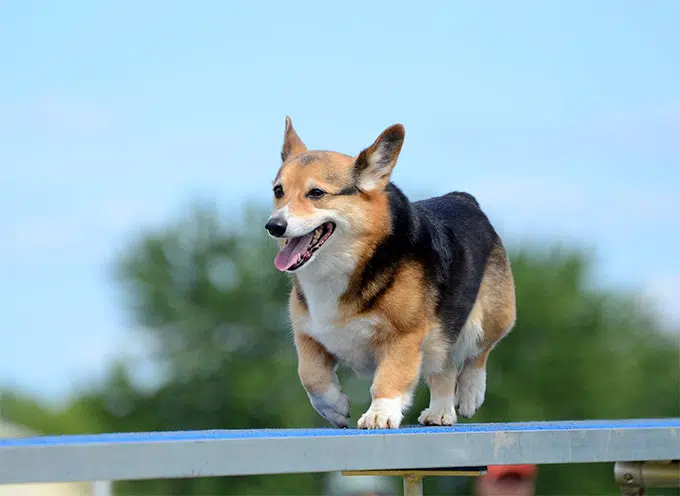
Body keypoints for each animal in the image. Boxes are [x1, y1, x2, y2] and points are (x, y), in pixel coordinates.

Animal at [266, 118, 516, 428]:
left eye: (316, 193)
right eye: (278, 191)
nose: (274, 226)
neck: (355, 258)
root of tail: (464, 198)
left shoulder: (403, 336)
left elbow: (389, 378)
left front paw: (380, 414)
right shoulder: (309, 333)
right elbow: (310, 375)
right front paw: (335, 408)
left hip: (489, 318)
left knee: (479, 353)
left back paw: (470, 394)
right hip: (440, 335)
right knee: (443, 368)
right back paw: (440, 412)